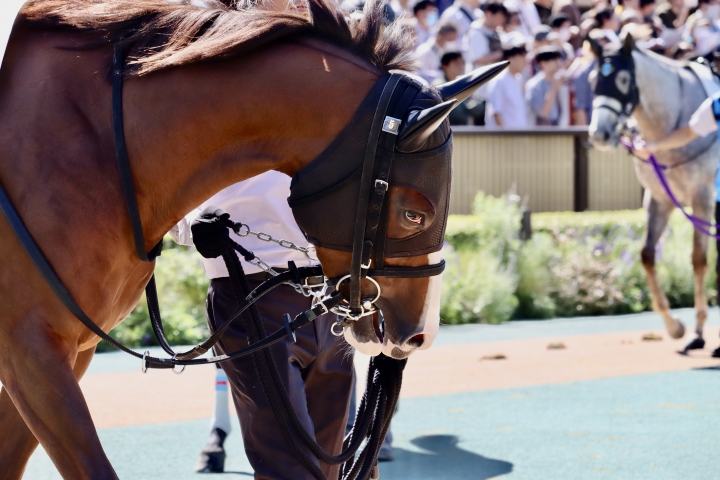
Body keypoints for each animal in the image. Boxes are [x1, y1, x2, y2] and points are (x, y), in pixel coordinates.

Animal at [588, 34, 720, 353]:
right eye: (592, 79)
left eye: (623, 79)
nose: (600, 134)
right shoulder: (658, 199)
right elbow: (647, 255)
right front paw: (675, 327)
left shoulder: (702, 197)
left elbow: (699, 259)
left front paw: (698, 331)